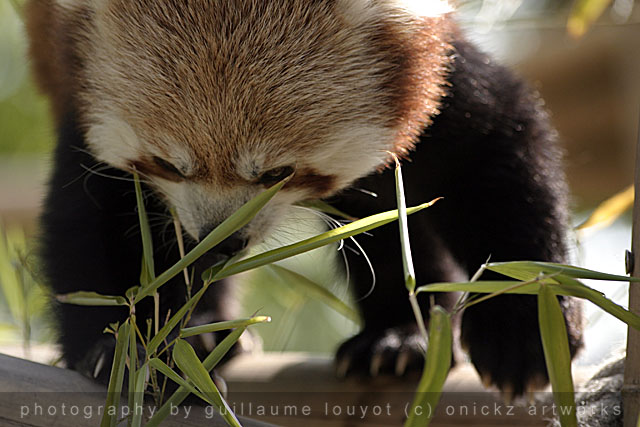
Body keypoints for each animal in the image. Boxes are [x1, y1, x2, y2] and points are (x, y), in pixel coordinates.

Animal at [26, 0, 583, 398]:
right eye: (168, 164)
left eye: (277, 173)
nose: (221, 241)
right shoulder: (83, 88)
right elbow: (95, 231)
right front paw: (122, 350)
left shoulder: (430, 72)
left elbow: (495, 157)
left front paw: (524, 326)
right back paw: (206, 332)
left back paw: (397, 337)